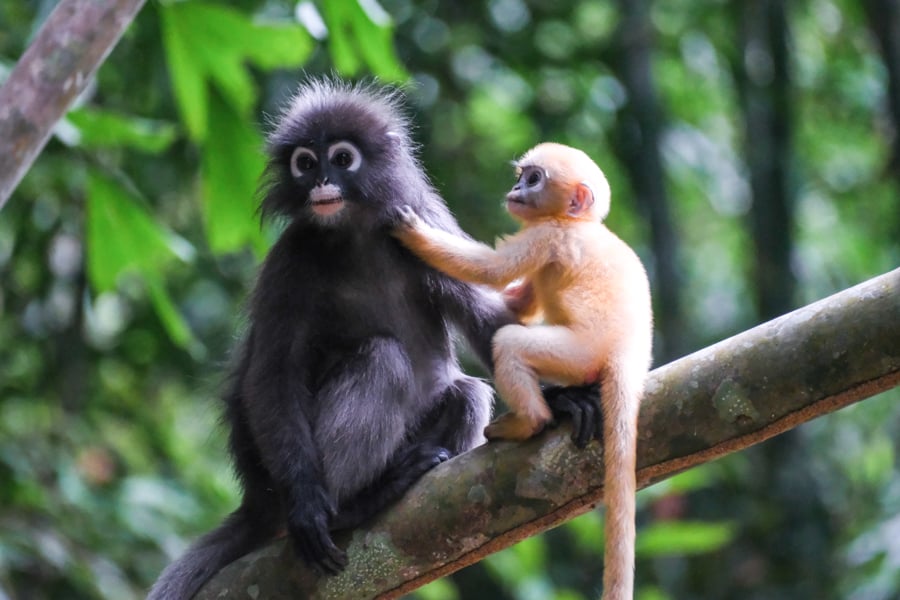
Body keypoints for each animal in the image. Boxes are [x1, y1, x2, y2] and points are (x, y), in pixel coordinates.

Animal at [148, 81, 596, 600]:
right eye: (305, 163)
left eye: (342, 158)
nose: (321, 180)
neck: (354, 234)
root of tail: (257, 501)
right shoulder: (289, 260)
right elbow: (272, 375)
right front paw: (309, 503)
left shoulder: (425, 224)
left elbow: (489, 323)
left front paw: (562, 399)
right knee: (383, 357)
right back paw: (353, 505)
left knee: (468, 392)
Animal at [394, 142, 652, 600]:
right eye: (522, 177)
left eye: (533, 179)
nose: (516, 189)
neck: (574, 222)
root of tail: (629, 355)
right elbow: (517, 300)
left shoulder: (547, 236)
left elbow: (490, 270)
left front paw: (414, 232)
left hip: (579, 353)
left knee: (510, 343)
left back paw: (528, 421)